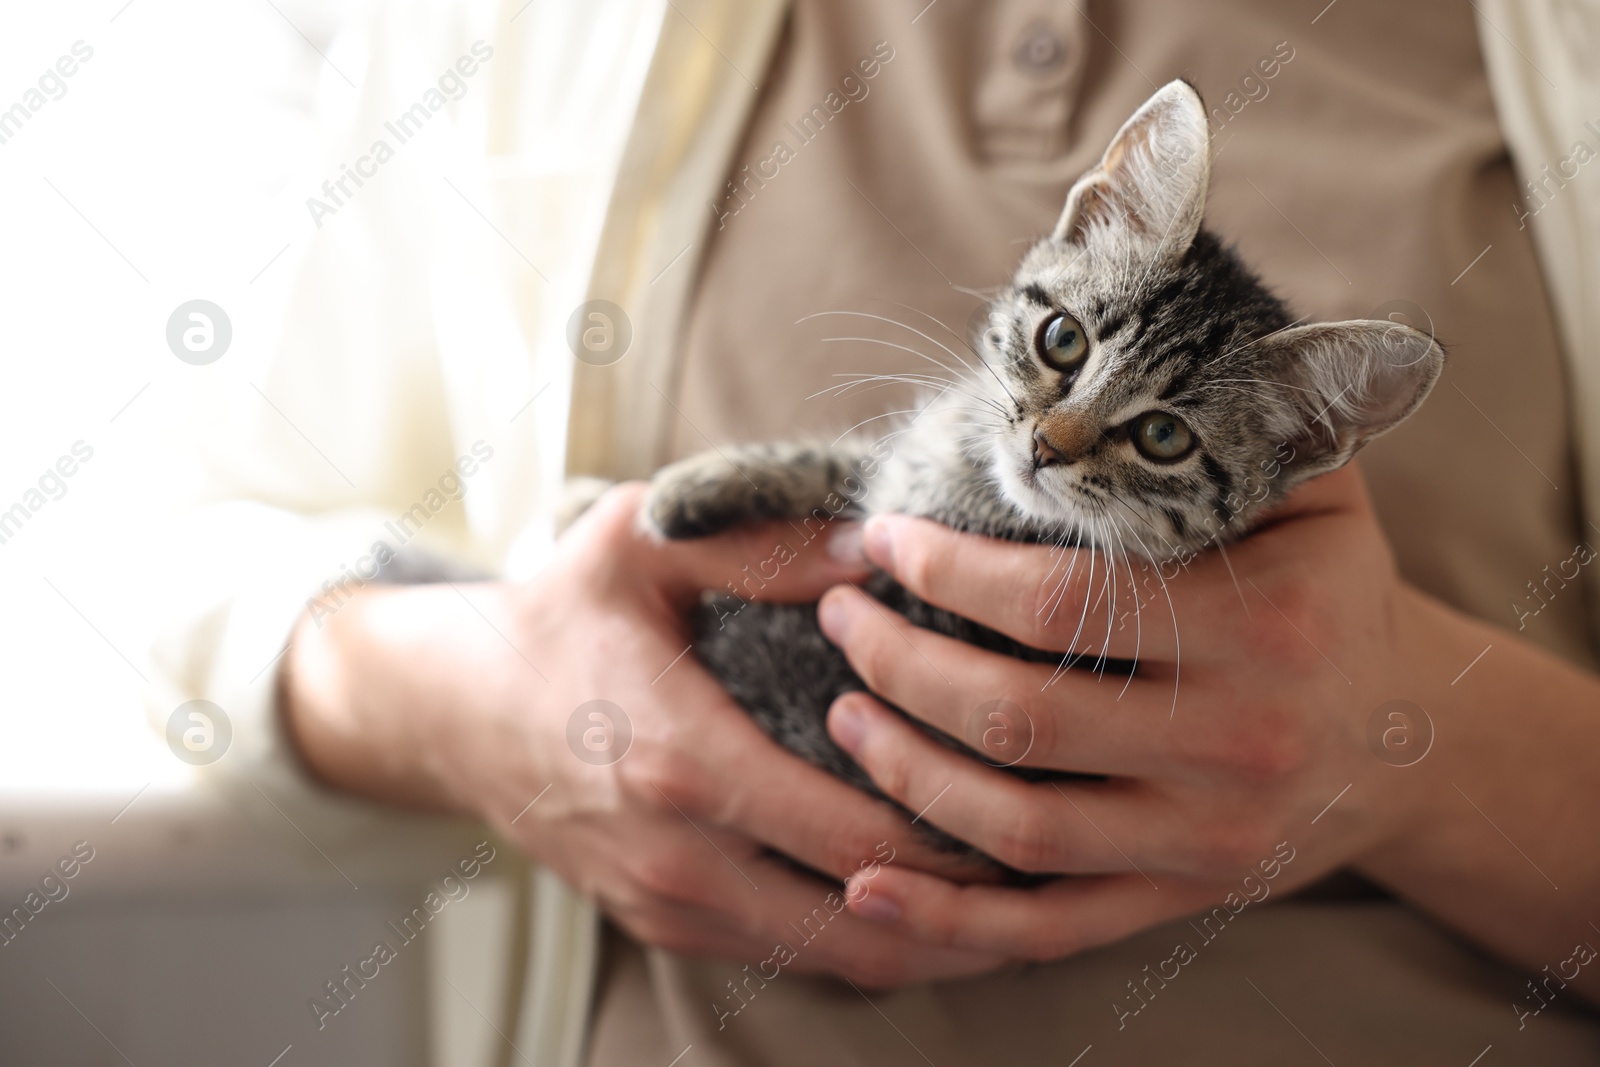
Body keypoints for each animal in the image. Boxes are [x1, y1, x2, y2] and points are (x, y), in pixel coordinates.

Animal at [640, 81, 1452, 870]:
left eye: (1164, 437)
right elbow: (846, 467)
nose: (1046, 447)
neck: (976, 486)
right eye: (1063, 338)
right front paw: (694, 487)